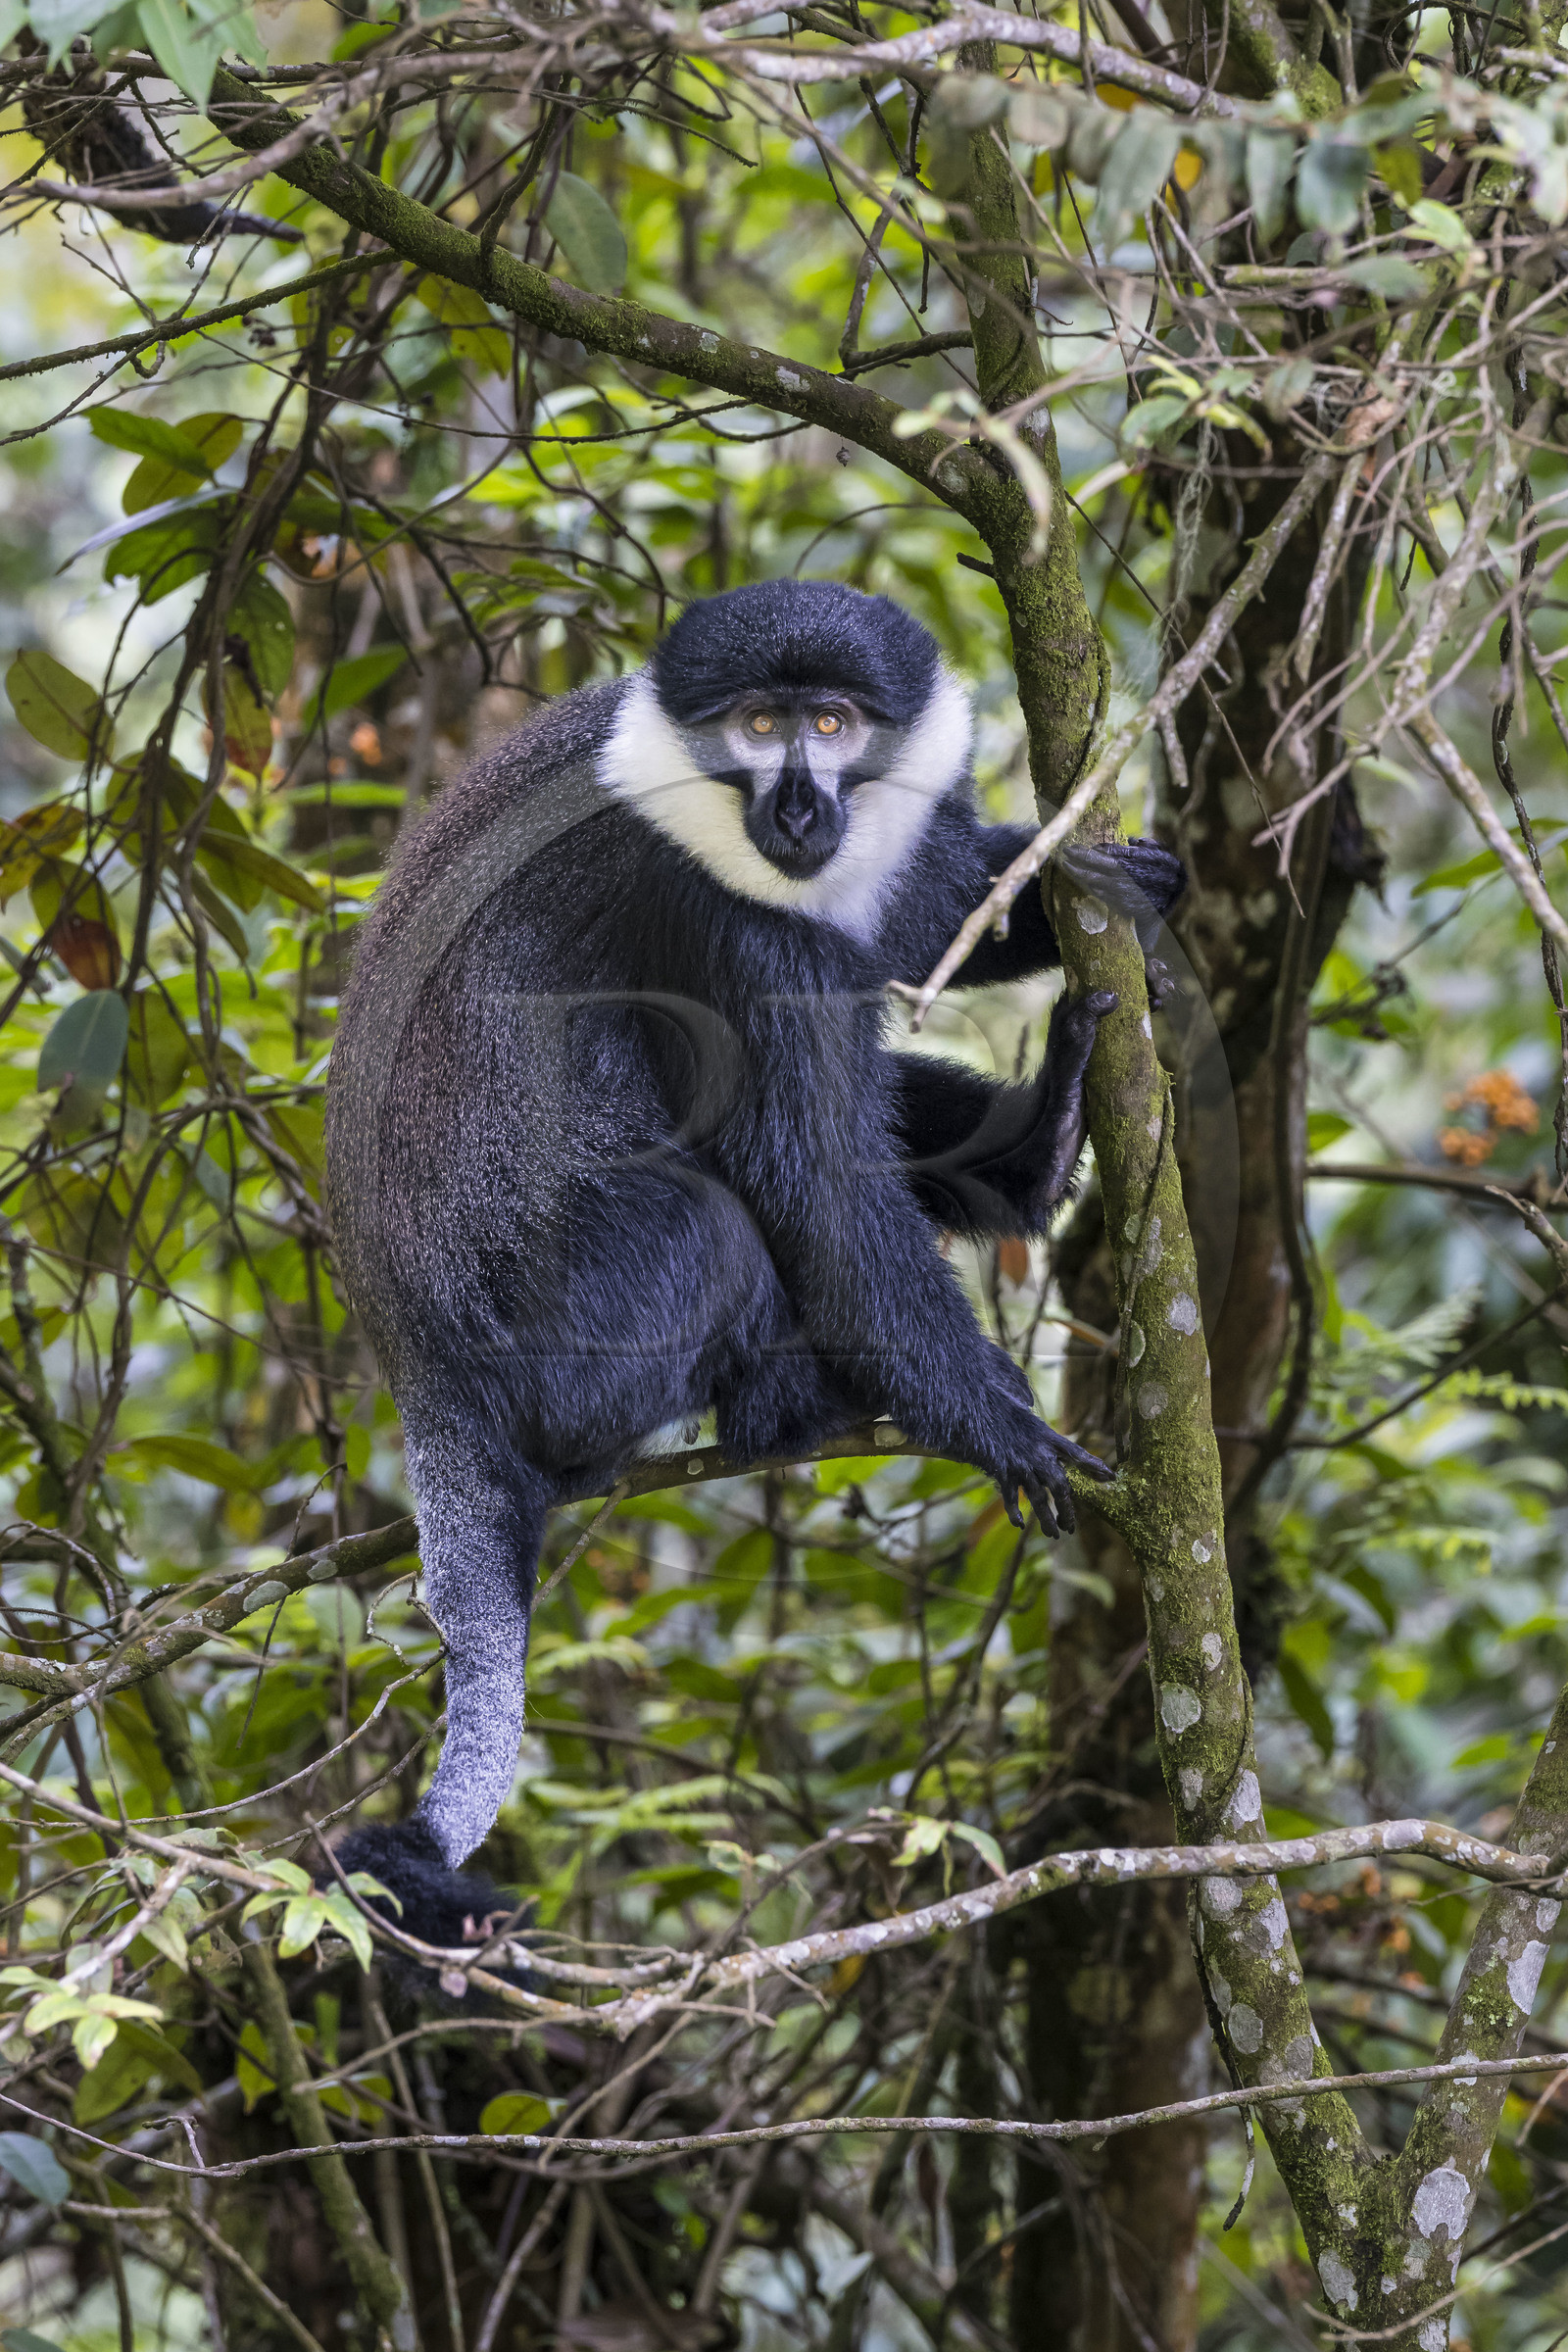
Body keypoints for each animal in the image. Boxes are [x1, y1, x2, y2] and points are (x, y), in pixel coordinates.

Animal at [325, 581, 1184, 1918]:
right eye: (759, 724)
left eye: (831, 723)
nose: (796, 806)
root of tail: (418, 1363)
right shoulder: (713, 914)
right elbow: (812, 1182)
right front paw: (994, 1421)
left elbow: (920, 912)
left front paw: (1091, 878)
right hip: (560, 1351)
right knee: (719, 1216)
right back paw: (794, 1406)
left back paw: (1031, 1156)